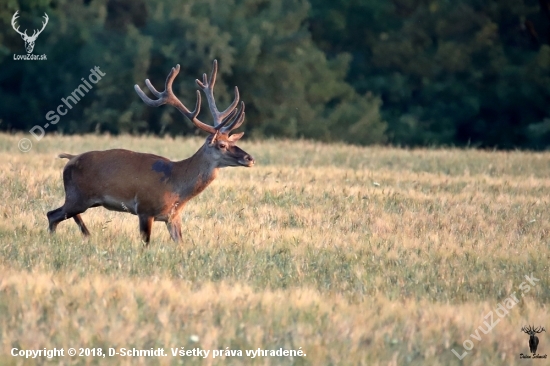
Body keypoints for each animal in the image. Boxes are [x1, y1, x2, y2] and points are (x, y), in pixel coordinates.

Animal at [47, 59, 254, 243]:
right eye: (222, 145)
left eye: (231, 140)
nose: (250, 158)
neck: (176, 186)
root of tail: (70, 159)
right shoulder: (145, 209)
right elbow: (145, 243)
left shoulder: (173, 217)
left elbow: (182, 244)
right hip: (78, 195)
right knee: (52, 214)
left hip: (83, 199)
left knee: (63, 215)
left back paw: (84, 236)